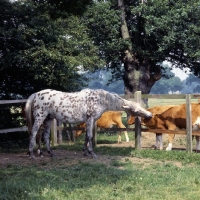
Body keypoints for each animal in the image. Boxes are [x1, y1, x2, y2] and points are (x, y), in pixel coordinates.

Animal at [24, 88, 152, 159]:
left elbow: (86, 137)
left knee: (45, 135)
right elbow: (90, 136)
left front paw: (85, 152)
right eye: (135, 111)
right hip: (40, 117)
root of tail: (35, 94)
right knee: (34, 133)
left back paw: (50, 153)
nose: (150, 115)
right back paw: (32, 154)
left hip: (49, 118)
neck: (100, 99)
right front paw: (92, 154)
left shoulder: (89, 121)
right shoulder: (90, 119)